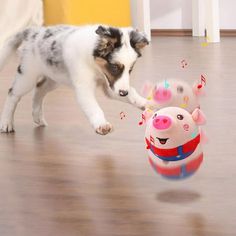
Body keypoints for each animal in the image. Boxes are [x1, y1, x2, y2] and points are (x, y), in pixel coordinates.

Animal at [0, 24, 148, 135]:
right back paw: (6, 123)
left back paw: (38, 117)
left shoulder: (111, 86)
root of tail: (33, 32)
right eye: (114, 67)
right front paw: (101, 124)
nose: (123, 93)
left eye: (130, 69)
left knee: (39, 89)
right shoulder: (84, 88)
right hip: (27, 75)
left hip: (54, 77)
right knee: (13, 93)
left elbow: (131, 93)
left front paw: (145, 103)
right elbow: (93, 107)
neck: (95, 66)